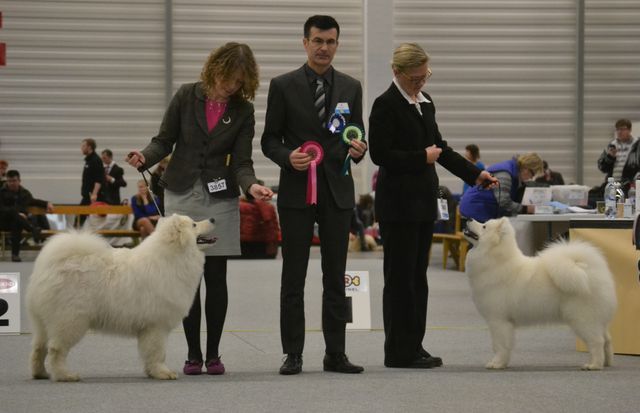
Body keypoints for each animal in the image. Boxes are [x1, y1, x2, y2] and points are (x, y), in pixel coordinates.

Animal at [26, 214, 216, 382]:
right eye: (194, 224)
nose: (213, 219)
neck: (172, 258)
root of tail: (49, 265)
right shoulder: (157, 326)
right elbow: (158, 353)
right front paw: (163, 373)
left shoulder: (149, 329)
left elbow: (149, 353)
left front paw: (151, 372)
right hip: (70, 321)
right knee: (55, 350)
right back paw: (65, 376)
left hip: (44, 323)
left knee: (38, 348)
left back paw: (40, 373)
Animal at [462, 217, 616, 368]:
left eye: (484, 226)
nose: (468, 218)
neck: (496, 261)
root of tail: (587, 268)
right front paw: (501, 363)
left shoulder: (498, 320)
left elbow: (499, 345)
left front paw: (497, 363)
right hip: (597, 319)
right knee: (607, 339)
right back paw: (606, 362)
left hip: (583, 318)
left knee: (597, 341)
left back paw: (594, 365)